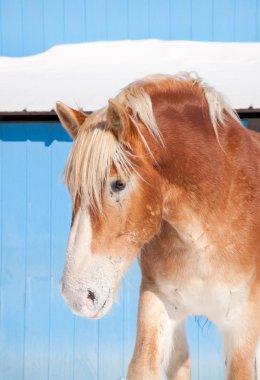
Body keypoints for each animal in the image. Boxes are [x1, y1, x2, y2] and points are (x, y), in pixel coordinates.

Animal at [55, 72, 258, 378]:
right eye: (72, 187)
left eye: (118, 184)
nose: (77, 295)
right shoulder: (158, 304)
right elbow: (143, 366)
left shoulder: (242, 327)